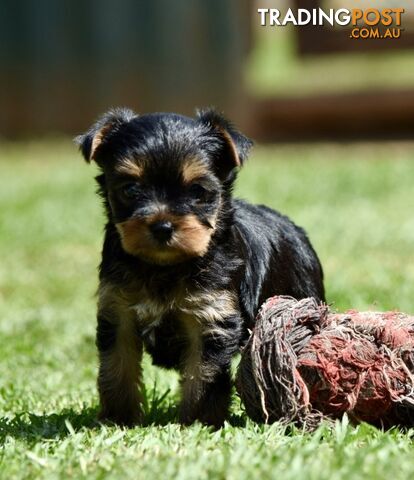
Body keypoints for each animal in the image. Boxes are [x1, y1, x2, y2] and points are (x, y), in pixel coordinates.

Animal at [76, 108, 326, 428]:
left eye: (197, 191)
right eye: (130, 189)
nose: (162, 226)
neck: (165, 267)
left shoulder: (211, 318)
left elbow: (203, 375)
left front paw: (197, 422)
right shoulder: (118, 312)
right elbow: (117, 367)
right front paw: (118, 419)